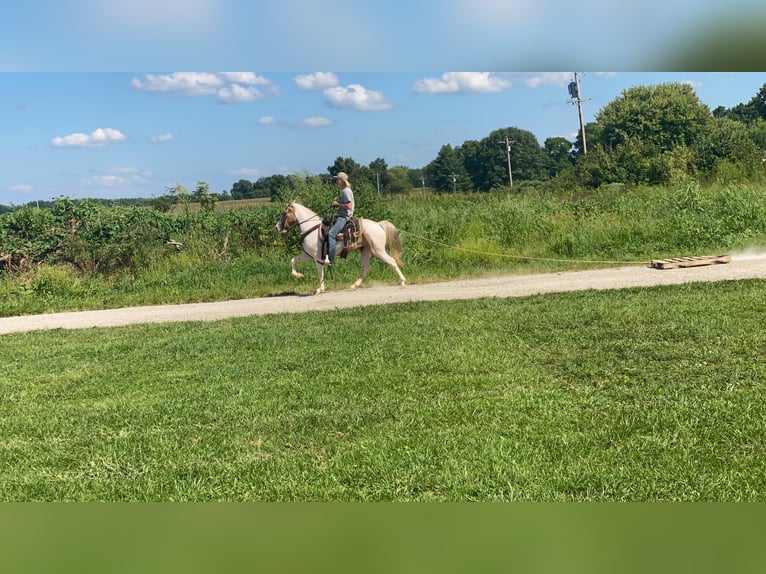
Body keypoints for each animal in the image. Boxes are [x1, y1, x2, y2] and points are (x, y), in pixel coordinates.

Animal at [276, 201, 408, 294]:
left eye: (285, 213)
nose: (277, 227)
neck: (311, 229)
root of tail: (378, 224)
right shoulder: (309, 255)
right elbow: (293, 260)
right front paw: (299, 275)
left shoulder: (317, 258)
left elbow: (320, 274)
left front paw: (319, 289)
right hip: (365, 251)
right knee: (366, 267)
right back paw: (354, 285)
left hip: (378, 250)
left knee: (391, 261)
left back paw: (402, 282)